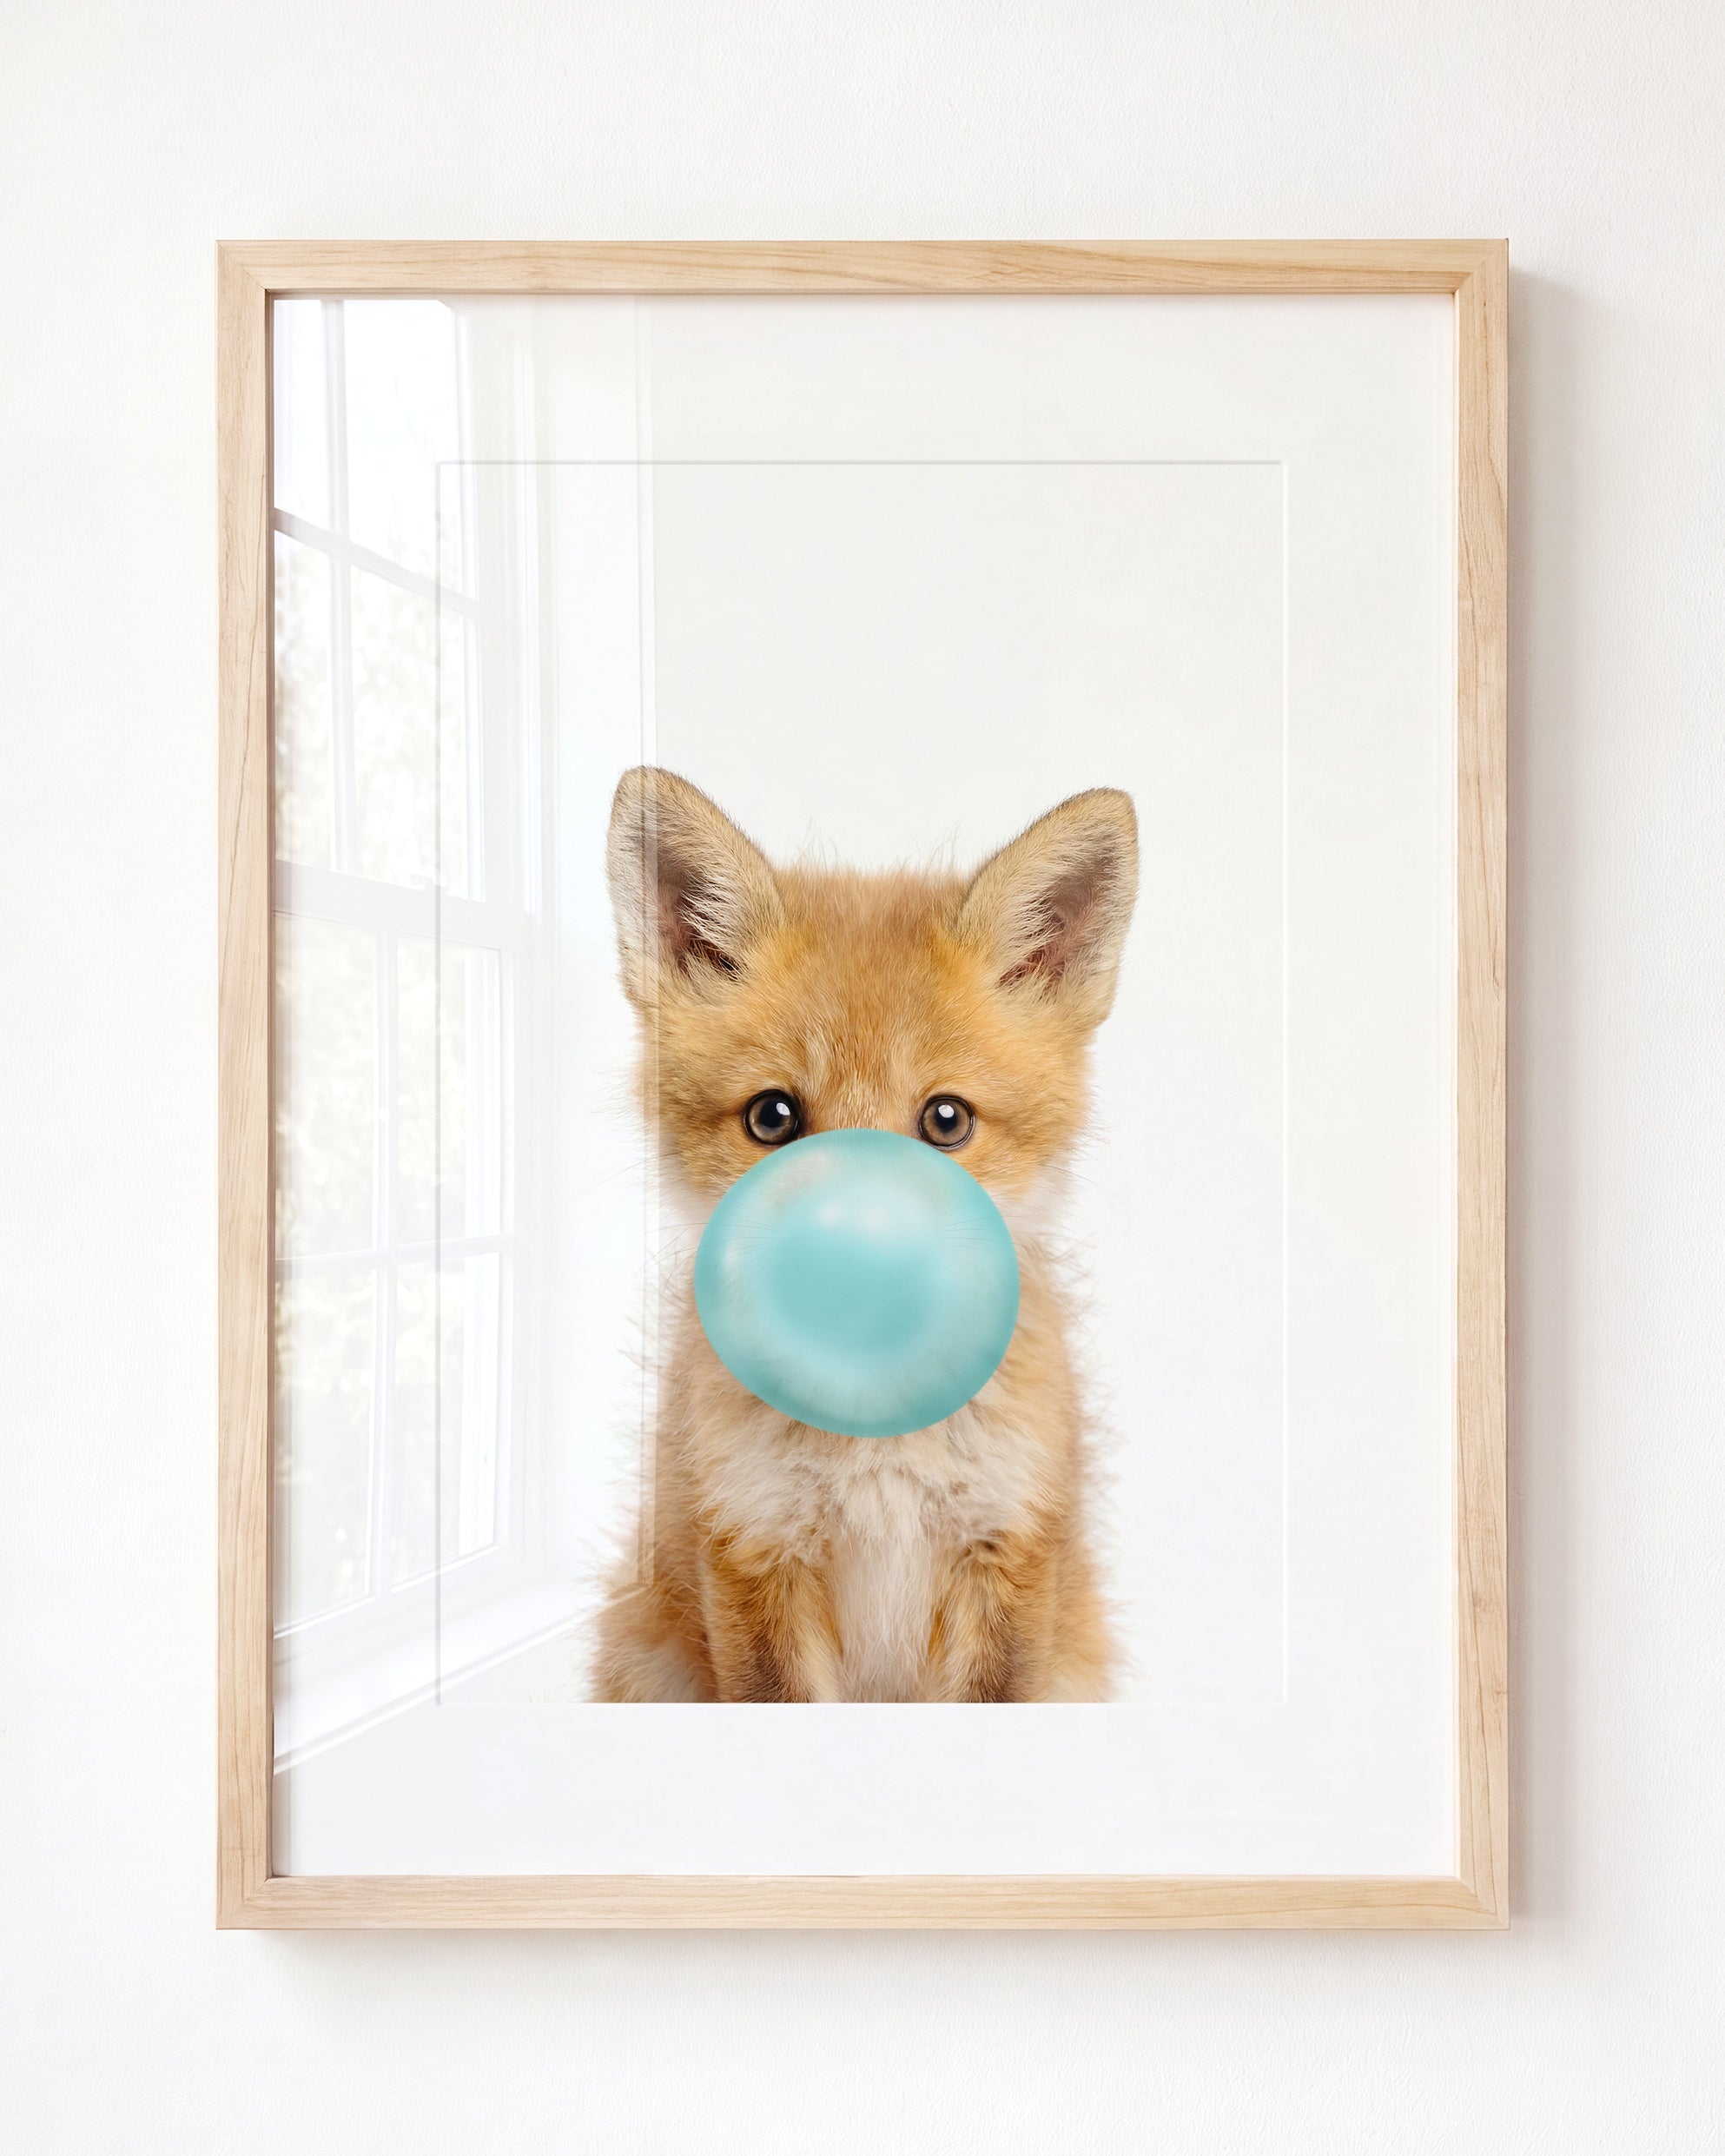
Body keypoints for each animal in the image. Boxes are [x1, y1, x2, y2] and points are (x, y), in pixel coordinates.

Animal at [590, 766, 1139, 1703]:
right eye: (773, 1117)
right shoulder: (753, 1549)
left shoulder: (1007, 1551)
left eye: (946, 1121)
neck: (876, 1445)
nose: (852, 1261)